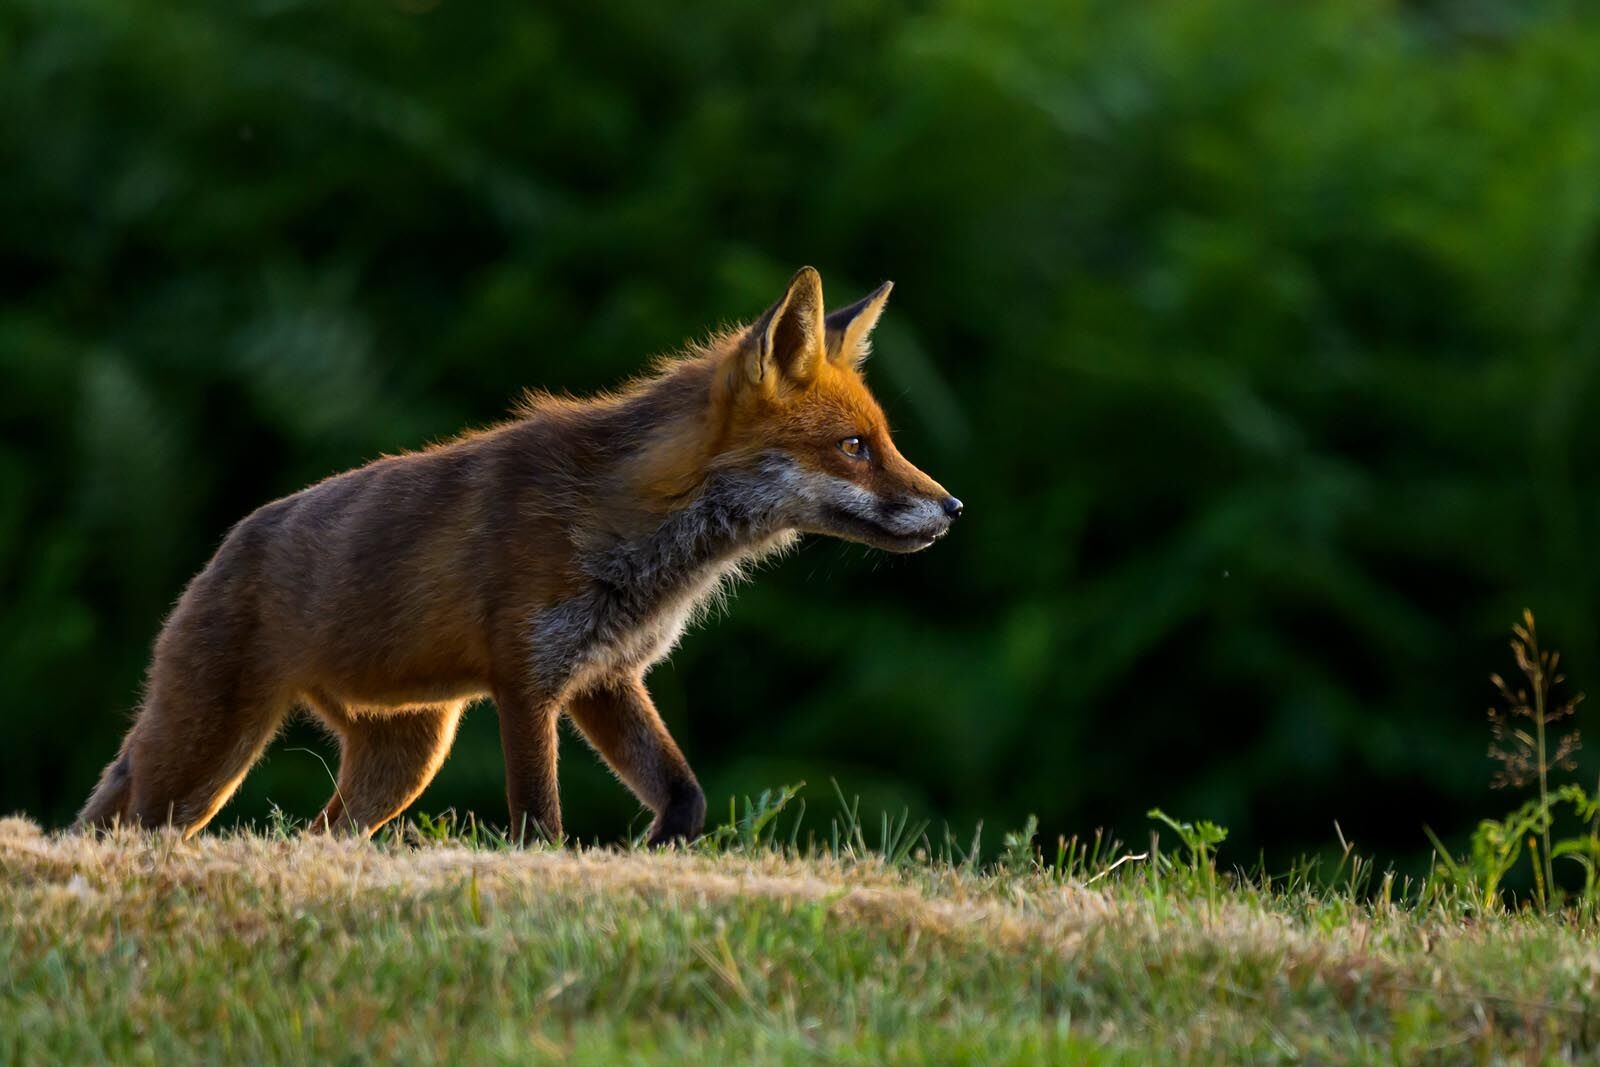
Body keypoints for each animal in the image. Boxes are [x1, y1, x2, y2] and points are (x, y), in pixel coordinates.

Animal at [75, 267, 962, 845]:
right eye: (854, 448)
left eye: (885, 441)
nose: (954, 509)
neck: (640, 533)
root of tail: (224, 548)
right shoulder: (526, 679)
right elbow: (538, 819)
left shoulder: (605, 676)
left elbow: (686, 796)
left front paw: (653, 856)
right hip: (205, 754)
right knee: (133, 819)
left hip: (402, 757)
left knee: (309, 833)